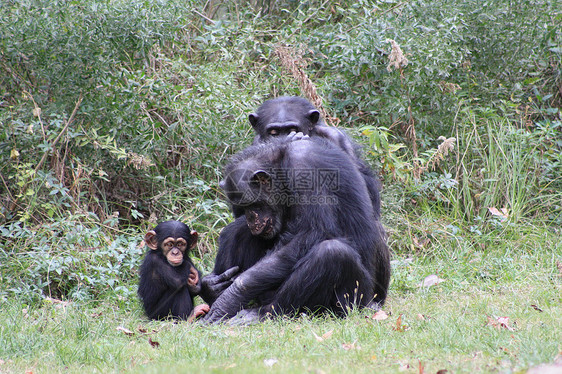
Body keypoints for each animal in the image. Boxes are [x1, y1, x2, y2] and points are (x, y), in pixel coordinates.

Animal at [201, 137, 390, 324]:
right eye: (242, 206)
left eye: (252, 204)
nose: (250, 218)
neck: (280, 166)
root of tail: (374, 303)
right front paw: (214, 289)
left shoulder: (303, 168)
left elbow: (313, 232)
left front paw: (230, 298)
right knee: (237, 230)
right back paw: (213, 291)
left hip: (356, 301)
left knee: (332, 253)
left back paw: (261, 313)